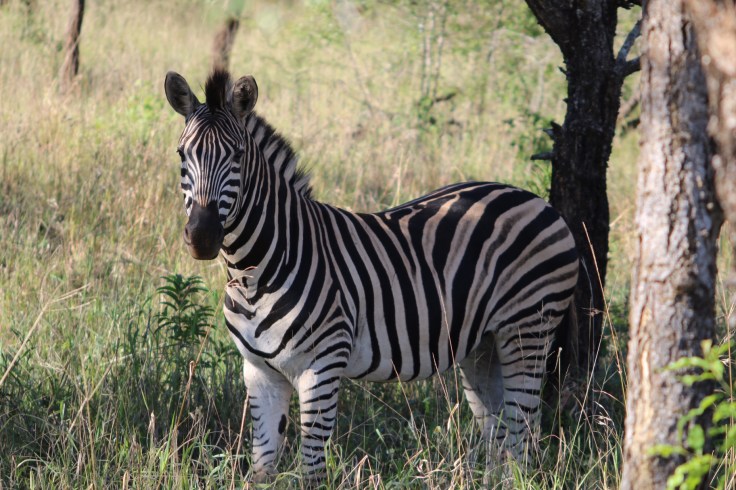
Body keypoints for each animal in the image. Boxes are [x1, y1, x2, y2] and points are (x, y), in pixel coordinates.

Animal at [164, 69, 579, 483]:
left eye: (237, 155)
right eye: (182, 155)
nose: (202, 237)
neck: (256, 271)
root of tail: (536, 201)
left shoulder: (323, 365)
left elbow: (311, 469)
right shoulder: (258, 371)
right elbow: (262, 468)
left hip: (527, 329)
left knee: (523, 437)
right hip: (484, 346)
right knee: (500, 435)